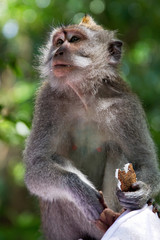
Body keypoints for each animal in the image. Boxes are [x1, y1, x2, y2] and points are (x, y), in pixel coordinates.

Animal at [23, 15, 160, 240]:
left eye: (75, 39)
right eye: (58, 42)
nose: (58, 51)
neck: (85, 96)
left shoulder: (126, 106)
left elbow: (144, 161)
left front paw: (142, 192)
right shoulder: (47, 101)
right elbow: (36, 165)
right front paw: (82, 192)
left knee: (117, 149)